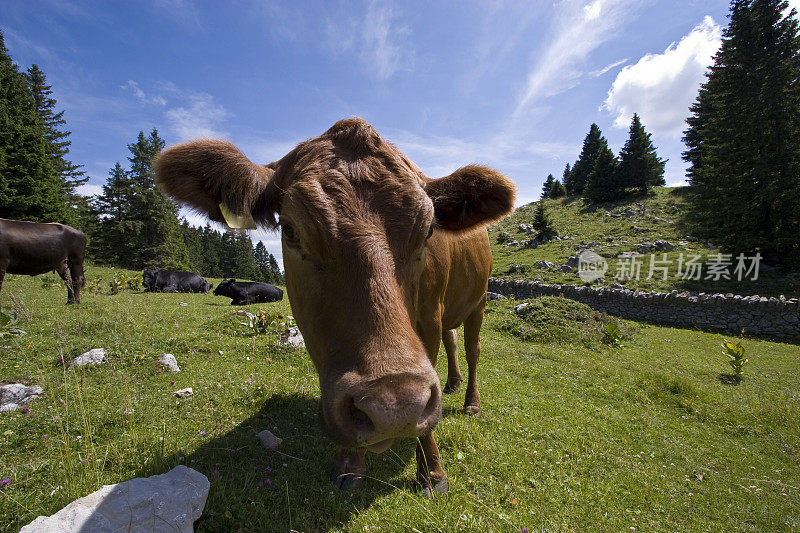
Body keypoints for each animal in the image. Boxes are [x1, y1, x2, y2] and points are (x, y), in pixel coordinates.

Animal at [153, 117, 516, 494]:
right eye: (290, 229)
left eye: (429, 230)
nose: (394, 409)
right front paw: (350, 467)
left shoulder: (430, 315)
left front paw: (432, 472)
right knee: (453, 341)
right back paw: (452, 384)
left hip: (479, 299)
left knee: (472, 348)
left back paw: (470, 402)